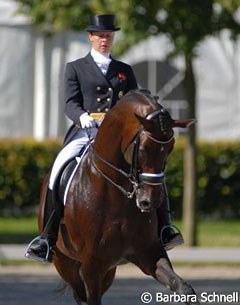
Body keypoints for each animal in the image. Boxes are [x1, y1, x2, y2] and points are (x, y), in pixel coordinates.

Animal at [39, 89, 197, 302]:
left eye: (170, 148)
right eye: (143, 148)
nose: (150, 201)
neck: (117, 195)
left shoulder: (150, 254)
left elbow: (183, 287)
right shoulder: (91, 268)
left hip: (109, 270)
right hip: (65, 262)